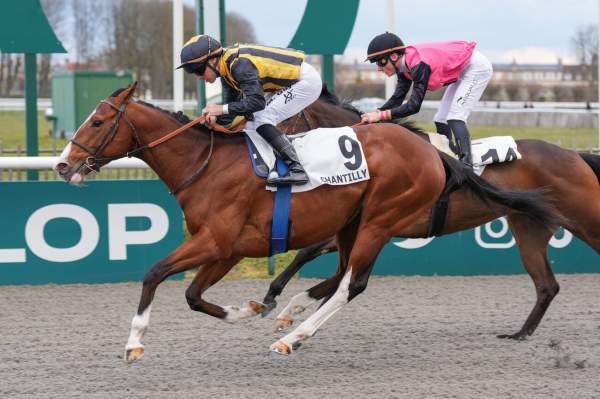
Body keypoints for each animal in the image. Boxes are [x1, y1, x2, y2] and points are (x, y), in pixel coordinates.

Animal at [52, 83, 556, 360]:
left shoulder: (216, 242)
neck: (206, 164)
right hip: (353, 223)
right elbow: (194, 296)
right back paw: (292, 320)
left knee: (352, 284)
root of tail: (432, 152)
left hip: (380, 219)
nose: (61, 165)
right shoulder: (227, 248)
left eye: (96, 121)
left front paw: (133, 343)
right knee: (341, 276)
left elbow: (154, 273)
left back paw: (294, 337)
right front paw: (249, 309)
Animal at [264, 87, 600, 340]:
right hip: (529, 229)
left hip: (585, 219)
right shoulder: (364, 224)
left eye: (286, 116)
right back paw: (520, 334)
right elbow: (306, 252)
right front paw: (273, 298)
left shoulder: (380, 224)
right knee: (547, 285)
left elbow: (317, 256)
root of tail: (574, 155)